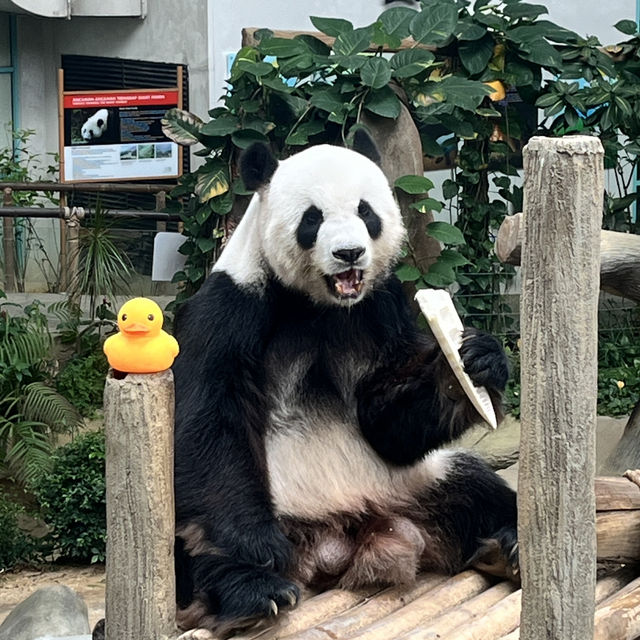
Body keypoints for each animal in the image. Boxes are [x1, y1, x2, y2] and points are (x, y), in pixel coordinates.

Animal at [171, 132, 520, 636]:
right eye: (312, 219)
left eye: (366, 211)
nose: (349, 253)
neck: (322, 304)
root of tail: (341, 543)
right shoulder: (232, 308)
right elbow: (208, 420)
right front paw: (258, 551)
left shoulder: (382, 308)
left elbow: (386, 422)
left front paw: (473, 364)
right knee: (195, 540)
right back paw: (253, 591)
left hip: (409, 483)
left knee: (477, 487)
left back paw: (508, 544)